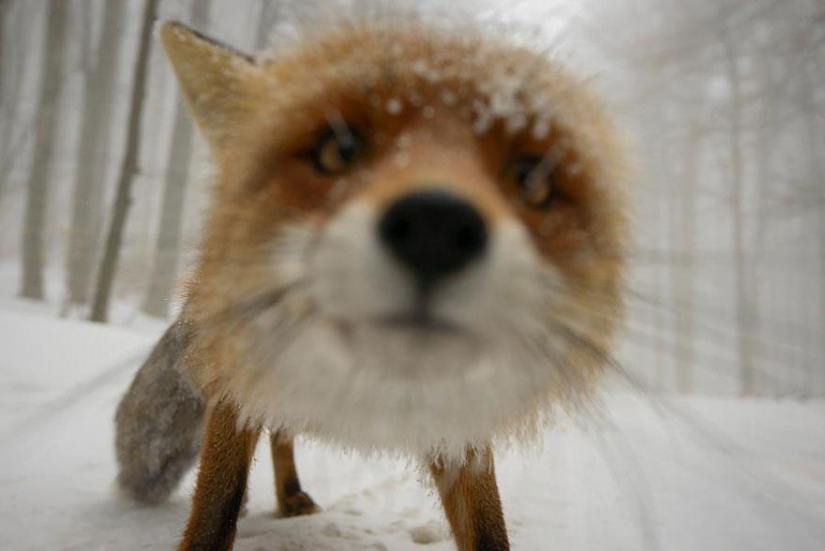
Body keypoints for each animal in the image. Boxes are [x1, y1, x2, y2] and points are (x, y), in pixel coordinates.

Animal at [114, 12, 629, 551]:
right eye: (336, 151)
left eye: (531, 179)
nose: (435, 229)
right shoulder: (236, 381)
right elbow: (217, 505)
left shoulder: (459, 418)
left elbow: (488, 527)